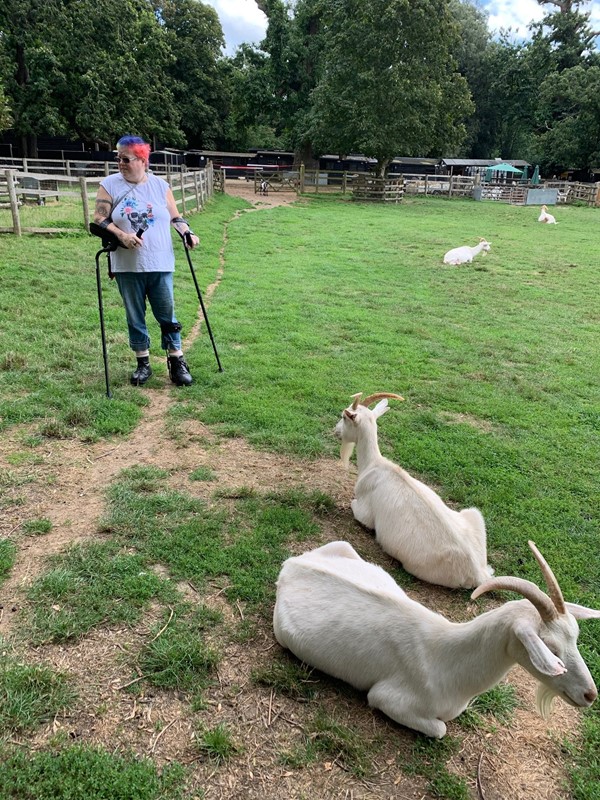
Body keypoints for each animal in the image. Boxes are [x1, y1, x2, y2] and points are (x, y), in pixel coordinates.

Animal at [274, 536, 600, 736]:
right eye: (550, 648)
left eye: (574, 638)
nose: (590, 695)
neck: (446, 656)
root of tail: (290, 566)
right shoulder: (387, 698)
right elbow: (440, 729)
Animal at [332, 394, 492, 588]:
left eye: (343, 417)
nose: (335, 431)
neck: (373, 464)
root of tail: (480, 574)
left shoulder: (364, 513)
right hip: (474, 514)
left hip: (415, 567)